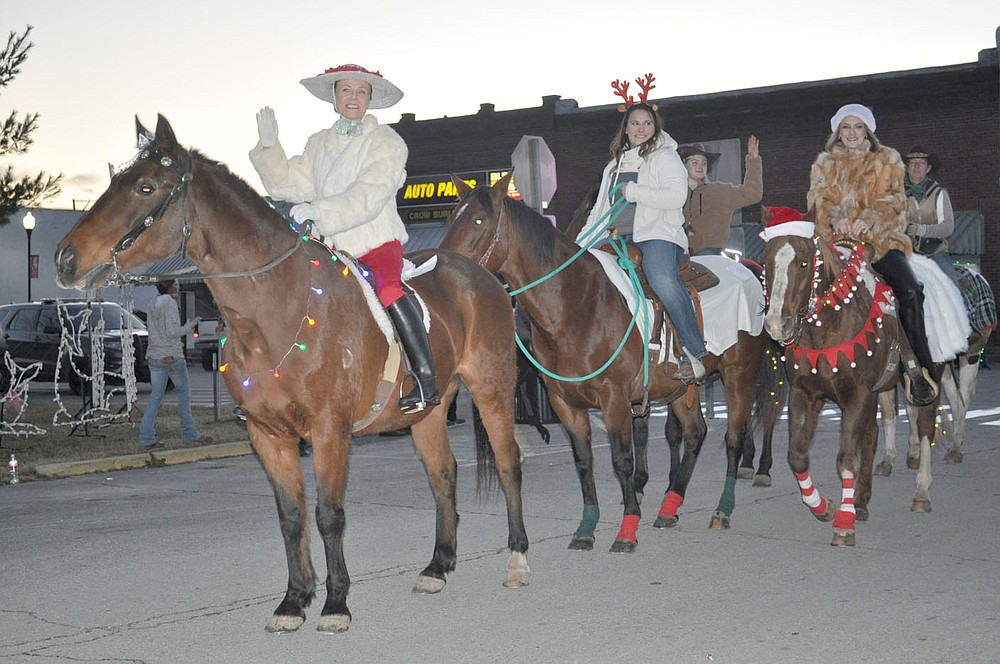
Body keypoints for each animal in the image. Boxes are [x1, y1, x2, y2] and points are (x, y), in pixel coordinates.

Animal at [52, 115, 532, 632]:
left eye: (145, 186)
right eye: (115, 181)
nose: (65, 258)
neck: (274, 309)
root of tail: (484, 277)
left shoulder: (329, 432)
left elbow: (328, 515)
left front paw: (336, 603)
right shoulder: (268, 435)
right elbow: (291, 516)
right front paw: (294, 600)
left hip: (492, 389)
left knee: (508, 463)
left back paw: (517, 559)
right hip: (429, 410)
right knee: (443, 474)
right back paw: (438, 566)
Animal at [442, 171, 776, 548]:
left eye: (478, 220)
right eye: (452, 217)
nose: (443, 266)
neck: (574, 305)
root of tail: (750, 273)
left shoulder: (614, 398)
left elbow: (622, 461)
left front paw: (627, 528)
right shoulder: (564, 402)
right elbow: (584, 462)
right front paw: (586, 528)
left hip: (739, 374)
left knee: (734, 437)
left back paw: (723, 509)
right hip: (679, 390)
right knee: (695, 433)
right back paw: (669, 507)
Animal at [760, 226, 940, 544]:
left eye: (804, 263)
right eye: (767, 263)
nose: (777, 325)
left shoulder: (857, 396)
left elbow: (846, 459)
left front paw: (844, 522)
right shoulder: (805, 395)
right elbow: (798, 456)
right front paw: (824, 508)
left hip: (929, 373)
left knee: (925, 425)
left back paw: (921, 493)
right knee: (872, 438)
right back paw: (861, 501)